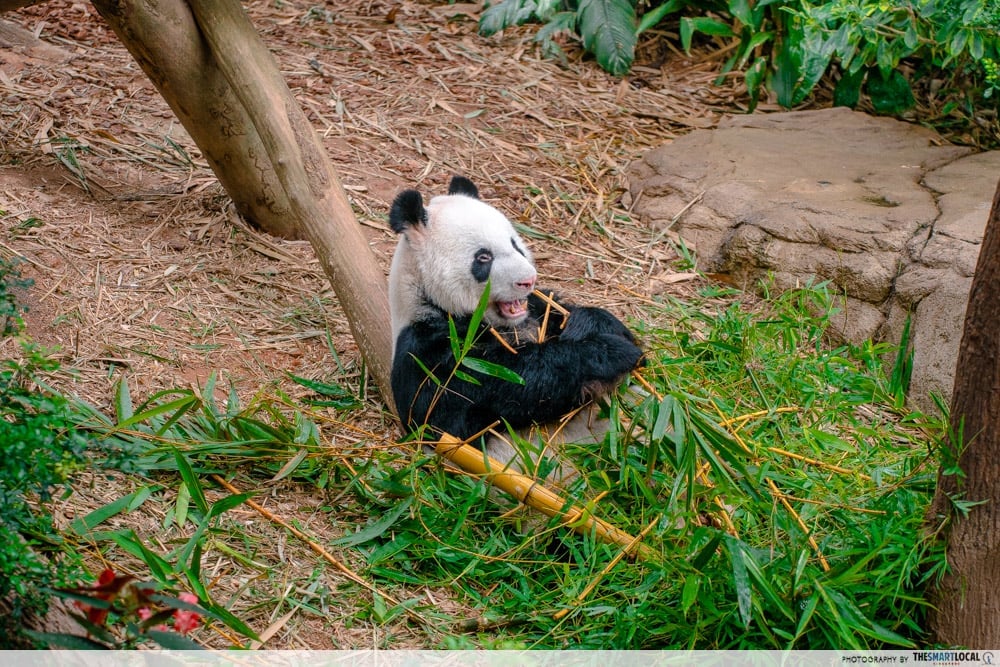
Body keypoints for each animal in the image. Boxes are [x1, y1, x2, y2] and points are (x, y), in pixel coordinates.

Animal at [388, 175, 643, 453]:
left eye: (515, 244)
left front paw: (588, 325)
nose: (528, 280)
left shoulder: (537, 310)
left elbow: (570, 315)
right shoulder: (430, 350)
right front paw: (611, 352)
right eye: (483, 257)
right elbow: (468, 405)